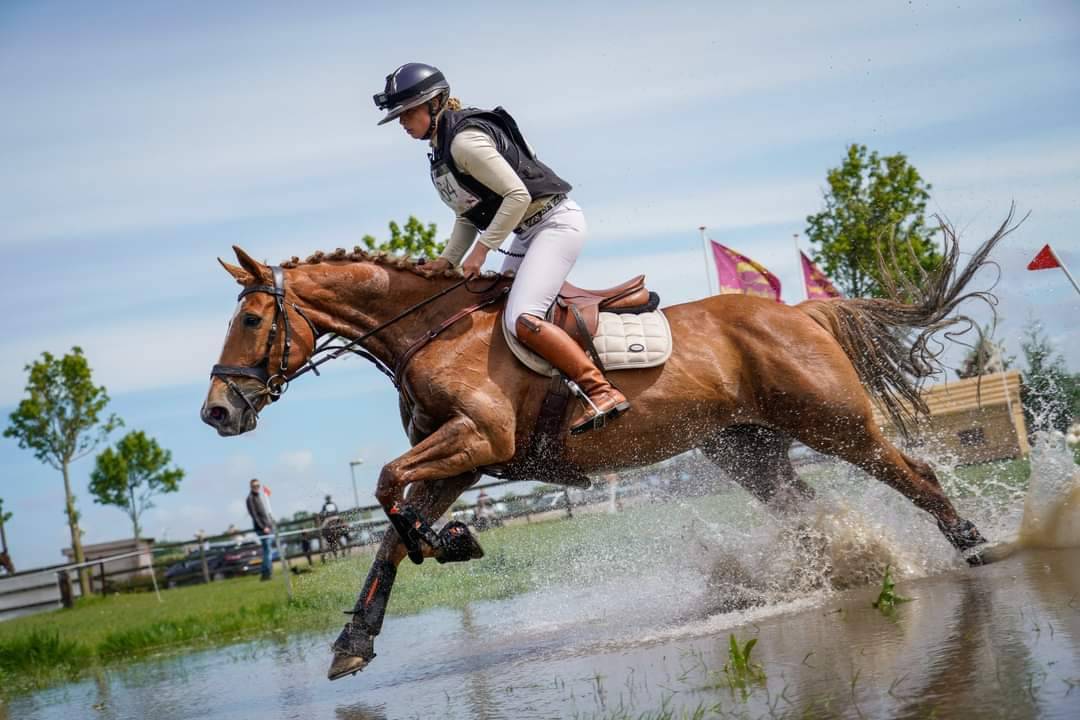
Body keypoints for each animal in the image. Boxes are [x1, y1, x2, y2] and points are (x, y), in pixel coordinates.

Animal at [201, 211, 1017, 680]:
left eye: (250, 320)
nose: (216, 412)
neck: (427, 330)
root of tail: (802, 314)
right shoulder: (466, 459)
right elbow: (389, 537)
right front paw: (356, 641)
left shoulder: (477, 438)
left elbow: (383, 489)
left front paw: (454, 543)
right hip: (746, 450)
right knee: (807, 509)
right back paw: (834, 569)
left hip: (833, 423)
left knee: (914, 473)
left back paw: (975, 545)